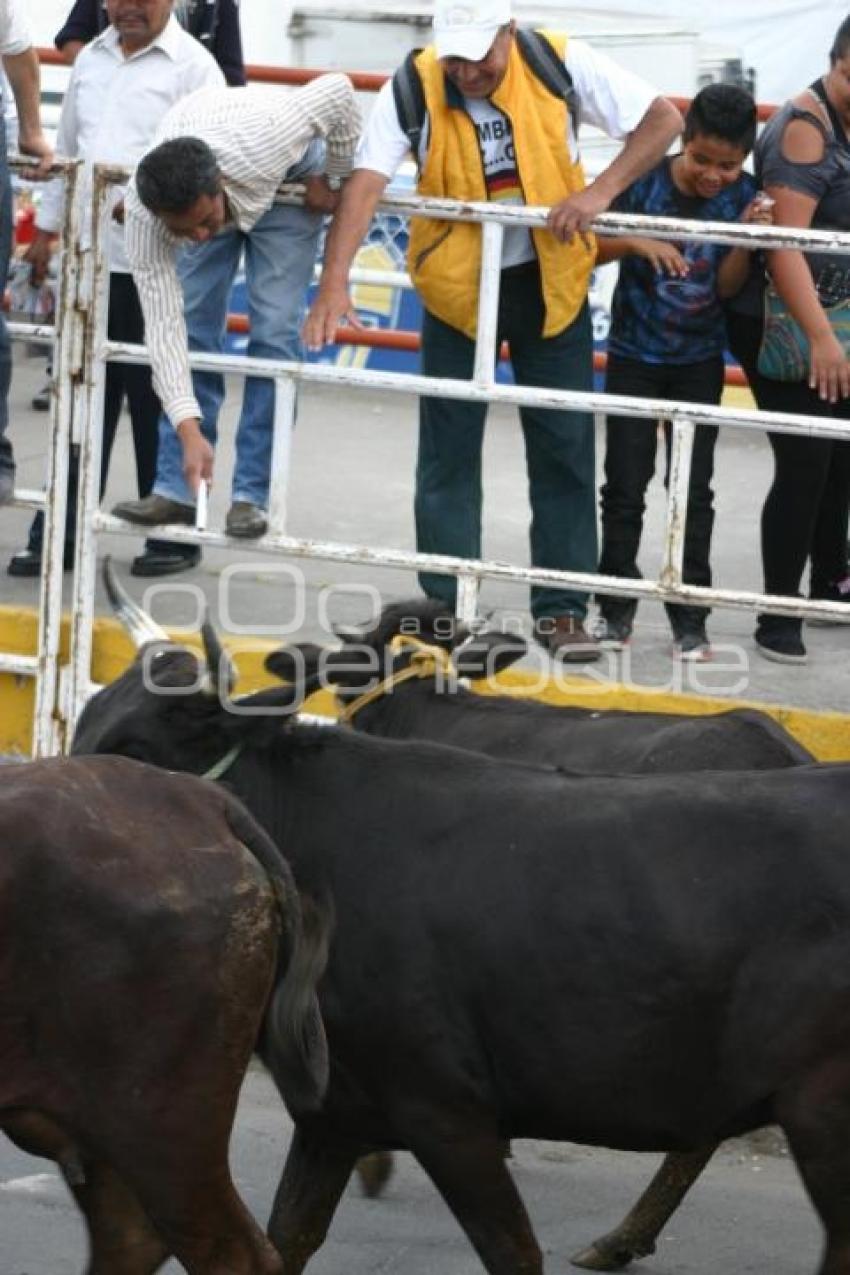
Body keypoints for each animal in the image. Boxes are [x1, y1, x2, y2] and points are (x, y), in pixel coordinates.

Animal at [71, 612, 850, 1269]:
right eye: (85, 725)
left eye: (136, 748)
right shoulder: (334, 1113)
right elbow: (284, 1239)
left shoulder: (445, 1113)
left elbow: (512, 1250)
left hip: (818, 1111)